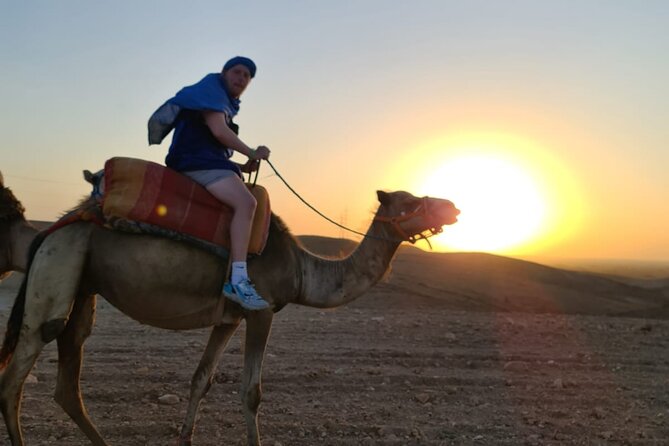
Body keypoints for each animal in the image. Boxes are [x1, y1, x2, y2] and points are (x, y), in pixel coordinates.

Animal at [0, 177, 460, 442]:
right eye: (410, 202)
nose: (453, 207)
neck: (302, 270)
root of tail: (49, 233)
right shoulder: (261, 311)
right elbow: (251, 392)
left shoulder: (229, 318)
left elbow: (200, 380)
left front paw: (185, 438)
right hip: (61, 267)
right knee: (16, 375)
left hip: (84, 286)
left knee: (68, 378)